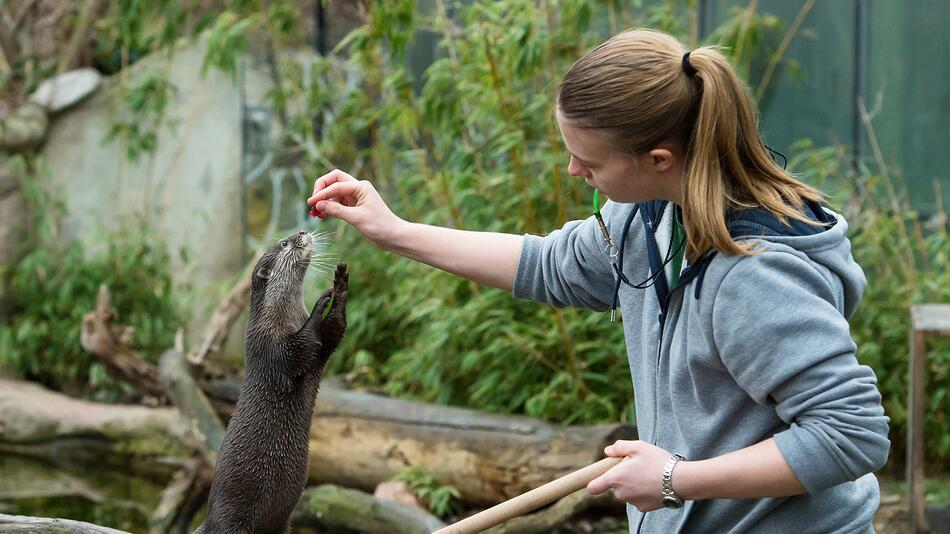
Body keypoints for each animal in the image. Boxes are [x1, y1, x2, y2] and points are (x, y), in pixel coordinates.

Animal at [197, 231, 350, 534]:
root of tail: (208, 523)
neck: (282, 315)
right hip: (232, 521)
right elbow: (295, 352)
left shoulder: (322, 347)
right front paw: (320, 304)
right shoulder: (269, 344)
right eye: (284, 244)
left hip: (281, 523)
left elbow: (333, 332)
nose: (301, 233)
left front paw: (339, 289)